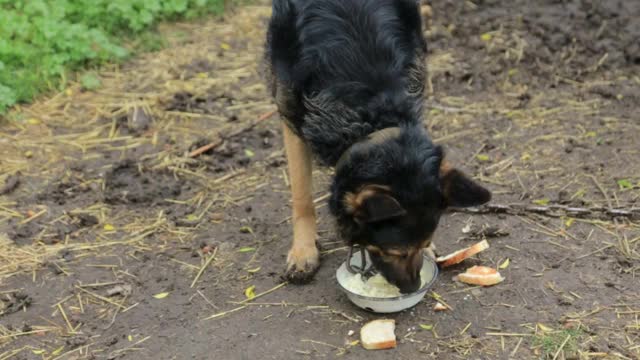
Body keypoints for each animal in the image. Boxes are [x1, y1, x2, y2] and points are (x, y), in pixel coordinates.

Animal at [264, 0, 490, 292]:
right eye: (395, 252)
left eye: (423, 244)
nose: (413, 288)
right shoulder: (291, 113)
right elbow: (302, 195)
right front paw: (303, 250)